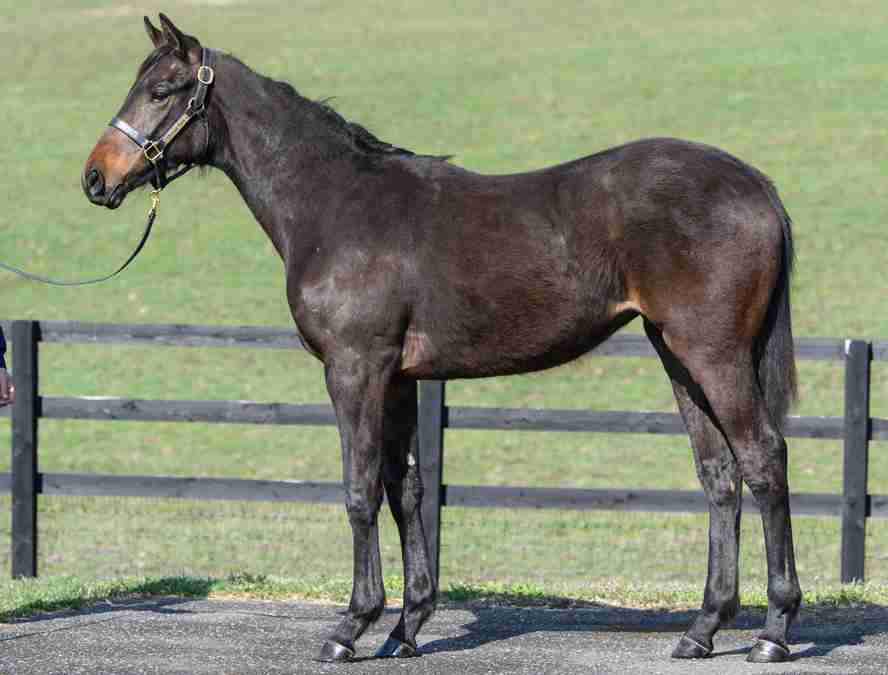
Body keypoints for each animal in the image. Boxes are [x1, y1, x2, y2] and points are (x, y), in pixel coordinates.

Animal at [83, 14, 801, 664]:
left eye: (163, 89)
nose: (95, 178)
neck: (337, 204)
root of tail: (756, 186)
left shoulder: (355, 369)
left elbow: (360, 490)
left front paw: (351, 626)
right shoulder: (399, 378)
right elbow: (407, 492)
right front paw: (406, 627)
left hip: (714, 354)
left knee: (763, 459)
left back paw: (772, 632)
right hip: (676, 355)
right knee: (719, 475)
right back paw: (703, 629)